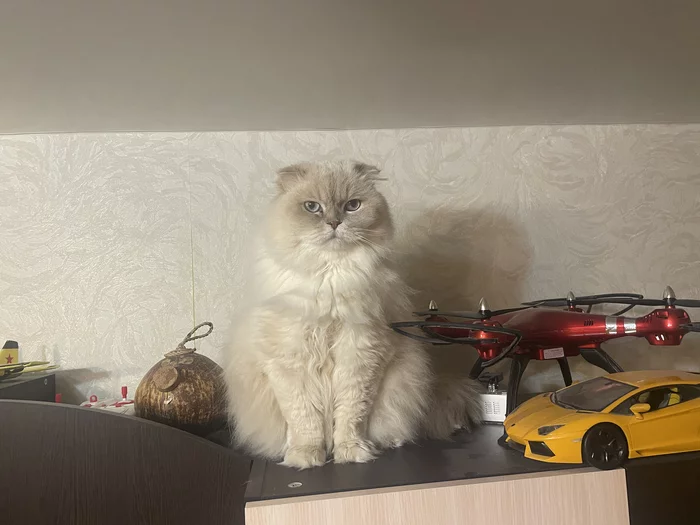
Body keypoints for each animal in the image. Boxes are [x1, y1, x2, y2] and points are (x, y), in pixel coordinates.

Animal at [226, 159, 482, 466]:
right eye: (312, 207)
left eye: (352, 206)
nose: (335, 223)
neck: (330, 278)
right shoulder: (291, 360)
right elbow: (305, 419)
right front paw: (306, 457)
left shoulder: (360, 354)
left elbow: (351, 414)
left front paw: (350, 452)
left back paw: (387, 442)